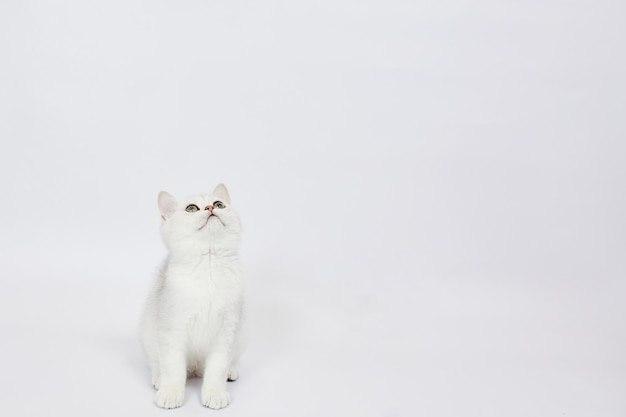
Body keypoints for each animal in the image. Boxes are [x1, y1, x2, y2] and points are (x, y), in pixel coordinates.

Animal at [139, 184, 244, 408]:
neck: (209, 265)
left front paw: (215, 393)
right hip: (147, 332)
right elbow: (173, 367)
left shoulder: (226, 331)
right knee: (157, 362)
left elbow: (217, 368)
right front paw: (170, 392)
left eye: (219, 204)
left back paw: (230, 372)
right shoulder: (172, 330)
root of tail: (195, 368)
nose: (209, 208)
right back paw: (159, 378)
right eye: (191, 209)